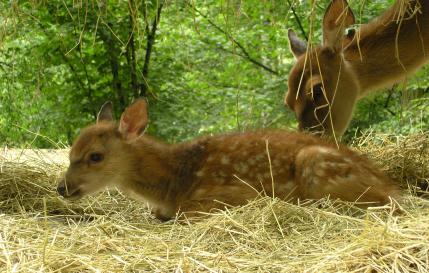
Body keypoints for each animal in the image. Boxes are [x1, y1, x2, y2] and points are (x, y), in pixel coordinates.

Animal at [56, 99, 398, 220]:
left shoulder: (234, 194)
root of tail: (391, 185)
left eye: (95, 156)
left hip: (316, 166)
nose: (61, 187)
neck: (172, 181)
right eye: (70, 152)